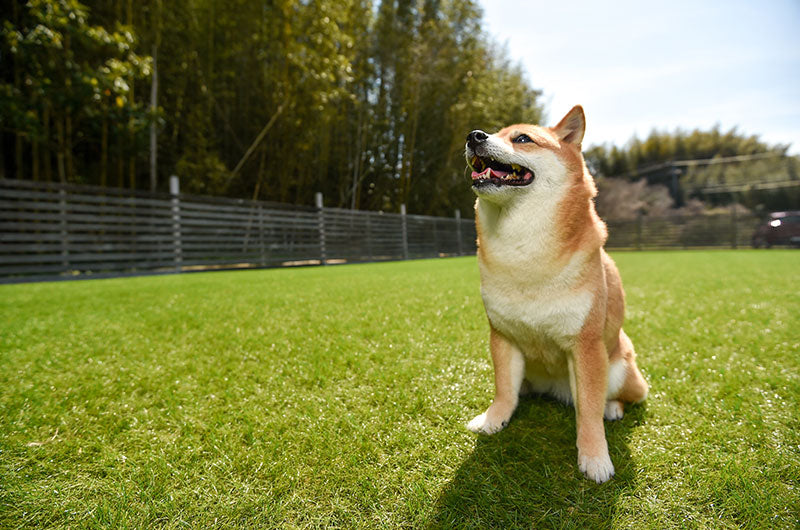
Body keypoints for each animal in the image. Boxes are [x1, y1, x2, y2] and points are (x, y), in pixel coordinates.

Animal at [466, 105, 648, 480]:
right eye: (492, 132)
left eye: (522, 138)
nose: (474, 136)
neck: (524, 252)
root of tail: (557, 389)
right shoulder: (502, 336)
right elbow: (503, 391)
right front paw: (494, 421)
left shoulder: (586, 345)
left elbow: (588, 412)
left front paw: (595, 458)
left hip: (621, 369)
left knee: (612, 398)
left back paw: (612, 407)